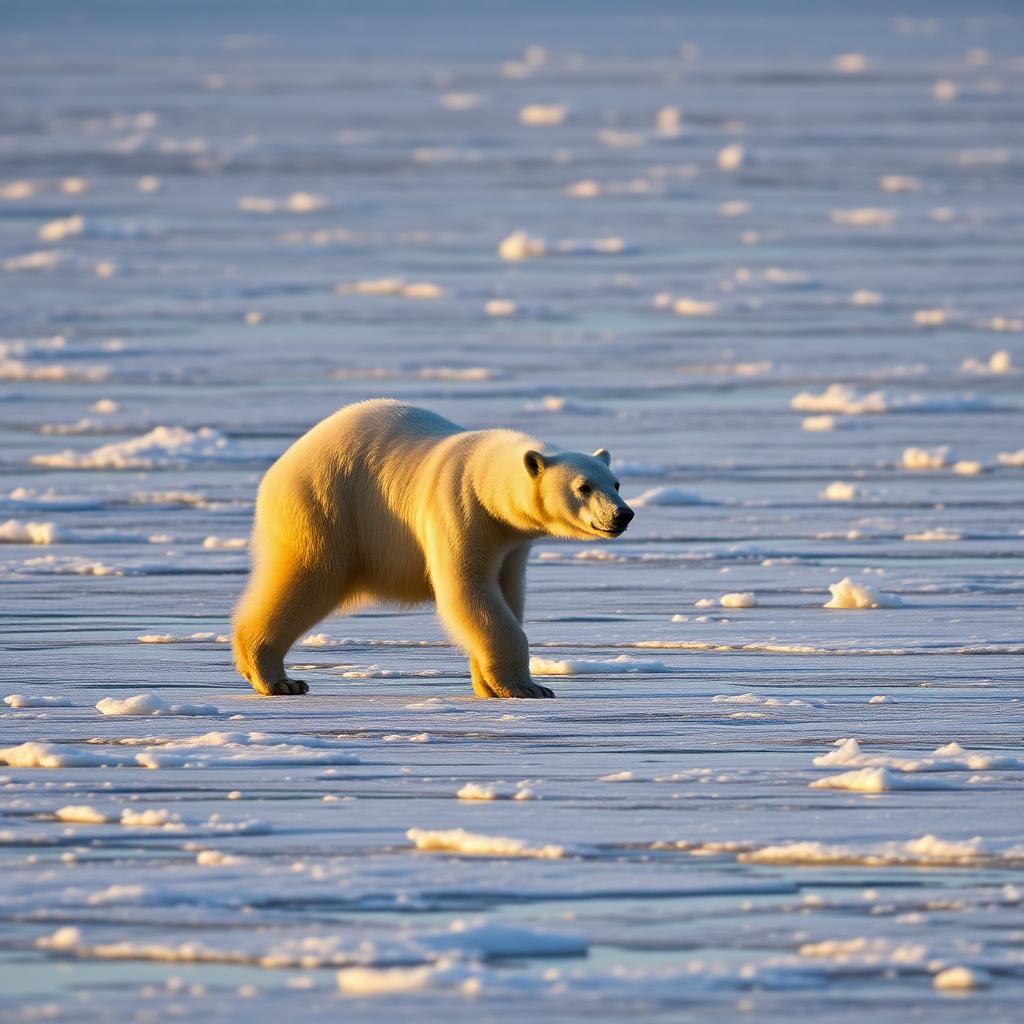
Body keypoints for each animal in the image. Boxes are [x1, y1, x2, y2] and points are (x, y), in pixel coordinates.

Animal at [232, 399, 634, 698]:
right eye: (583, 486)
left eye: (615, 483)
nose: (623, 514)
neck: (482, 477)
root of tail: (280, 466)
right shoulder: (458, 509)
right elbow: (467, 591)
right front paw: (528, 687)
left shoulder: (511, 543)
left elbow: (508, 594)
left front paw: (486, 684)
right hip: (325, 505)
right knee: (308, 577)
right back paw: (279, 678)